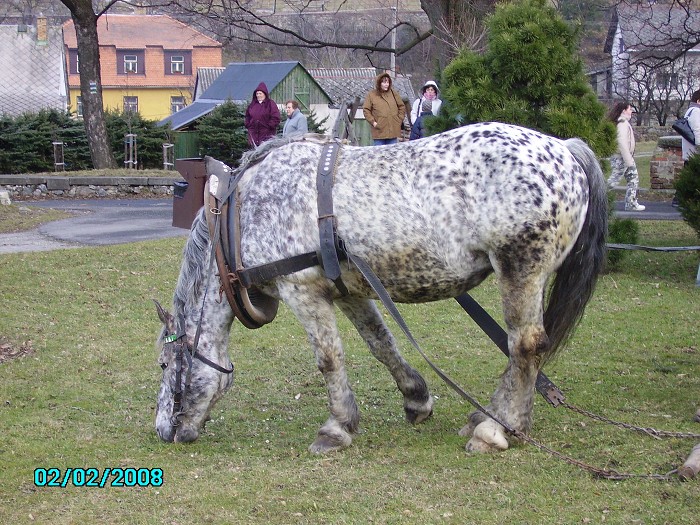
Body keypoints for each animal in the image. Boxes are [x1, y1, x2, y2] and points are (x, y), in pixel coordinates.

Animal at [153, 123, 608, 454]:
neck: (240, 214)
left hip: (520, 269)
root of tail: (565, 148)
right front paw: (416, 399)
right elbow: (381, 343)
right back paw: (492, 418)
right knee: (520, 351)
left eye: (162, 364)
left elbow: (329, 359)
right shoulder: (349, 290)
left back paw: (496, 430)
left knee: (525, 346)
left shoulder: (301, 289)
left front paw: (336, 427)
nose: (162, 430)